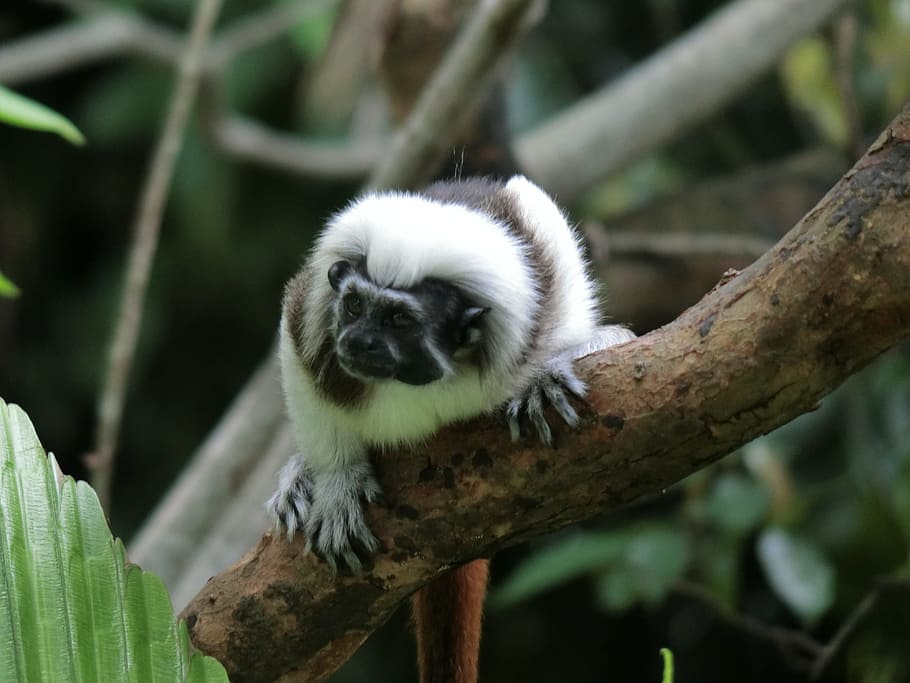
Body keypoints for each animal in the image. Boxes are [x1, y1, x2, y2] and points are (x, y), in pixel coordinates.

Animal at [269, 174, 635, 683]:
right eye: (355, 305)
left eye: (400, 319)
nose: (359, 341)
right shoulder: (316, 327)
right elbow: (298, 351)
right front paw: (337, 481)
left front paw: (550, 376)